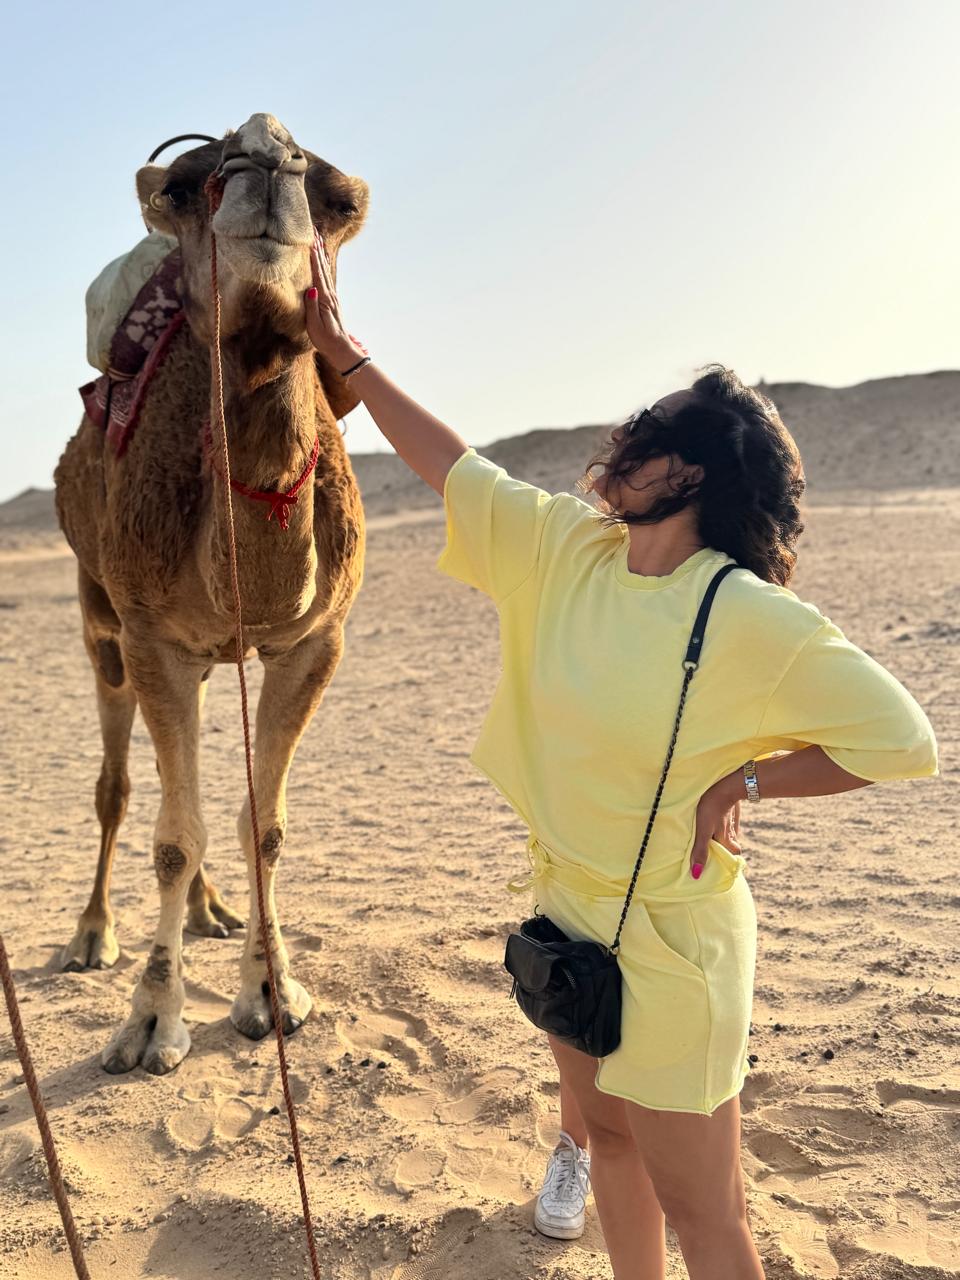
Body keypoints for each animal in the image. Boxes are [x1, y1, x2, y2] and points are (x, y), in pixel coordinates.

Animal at [54, 113, 368, 1074]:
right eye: (183, 188)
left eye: (340, 199)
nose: (267, 154)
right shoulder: (152, 636)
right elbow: (170, 838)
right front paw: (151, 1021)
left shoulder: (314, 642)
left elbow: (261, 825)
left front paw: (271, 993)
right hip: (102, 622)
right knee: (120, 788)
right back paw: (92, 935)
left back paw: (211, 911)